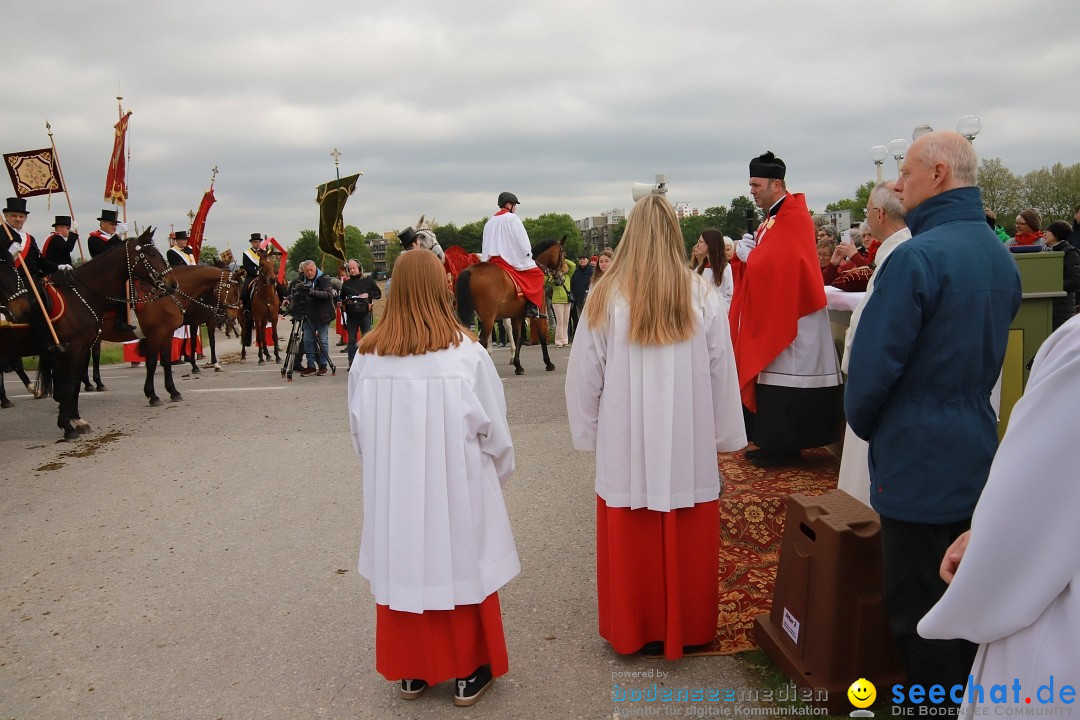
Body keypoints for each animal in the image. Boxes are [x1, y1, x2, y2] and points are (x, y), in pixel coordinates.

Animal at [0, 227, 177, 440]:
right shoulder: (70, 349)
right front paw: (67, 427)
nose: (172, 284)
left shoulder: (82, 347)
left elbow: (75, 383)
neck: (83, 296)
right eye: (149, 254)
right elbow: (67, 384)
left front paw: (76, 420)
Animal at [453, 237, 565, 375]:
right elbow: (541, 336)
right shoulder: (539, 310)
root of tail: (469, 271)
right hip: (488, 318)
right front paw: (549, 363)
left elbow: (518, 337)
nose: (562, 278)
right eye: (563, 255)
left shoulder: (517, 315)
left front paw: (518, 365)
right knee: (482, 341)